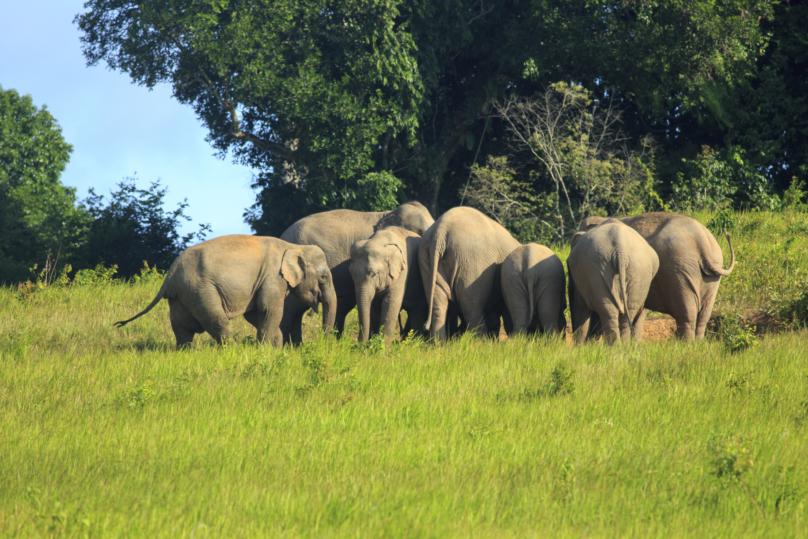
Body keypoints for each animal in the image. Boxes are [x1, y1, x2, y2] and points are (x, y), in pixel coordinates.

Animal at [113, 236, 334, 350]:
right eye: (323, 277)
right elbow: (269, 310)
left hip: (181, 296)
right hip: (199, 289)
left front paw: (275, 347)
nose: (323, 342)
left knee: (182, 326)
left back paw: (185, 352)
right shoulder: (273, 276)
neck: (293, 246)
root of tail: (169, 276)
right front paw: (265, 349)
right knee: (216, 320)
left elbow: (254, 314)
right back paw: (232, 349)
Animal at [420, 207, 520, 342]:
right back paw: (480, 344)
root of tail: (441, 231)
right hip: (473, 262)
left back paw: (437, 345)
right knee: (472, 308)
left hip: (427, 259)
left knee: (439, 306)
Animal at [576, 212, 736, 342]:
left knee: (687, 314)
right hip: (707, 276)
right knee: (702, 316)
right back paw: (695, 345)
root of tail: (702, 241)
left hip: (680, 272)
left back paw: (686, 346)